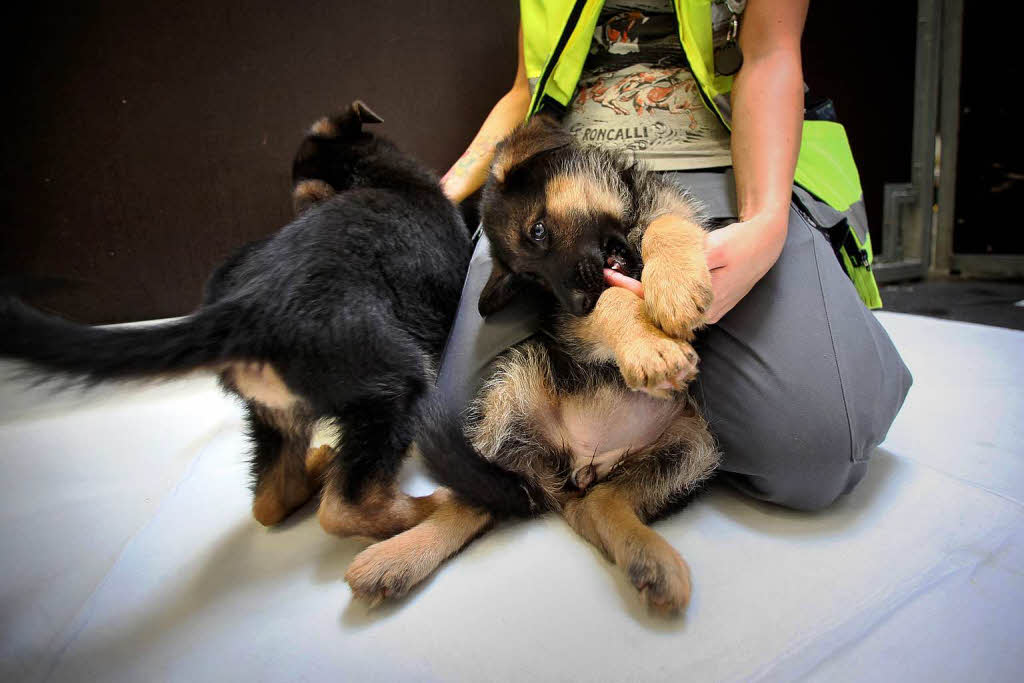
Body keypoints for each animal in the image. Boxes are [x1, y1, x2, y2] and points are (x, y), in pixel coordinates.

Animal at [2, 101, 473, 548]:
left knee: (270, 499)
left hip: (269, 411)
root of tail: (249, 312)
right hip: (392, 387)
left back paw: (318, 467)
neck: (371, 177)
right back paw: (434, 504)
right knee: (345, 508)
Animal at [348, 114, 716, 618]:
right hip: (512, 388)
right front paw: (649, 350)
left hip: (690, 448)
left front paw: (676, 286)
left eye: (539, 231)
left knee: (597, 505)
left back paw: (649, 560)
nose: (575, 304)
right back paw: (394, 558)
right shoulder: (574, 325)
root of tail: (580, 463)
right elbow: (612, 300)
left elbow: (668, 222)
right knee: (480, 501)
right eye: (530, 278)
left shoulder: (669, 212)